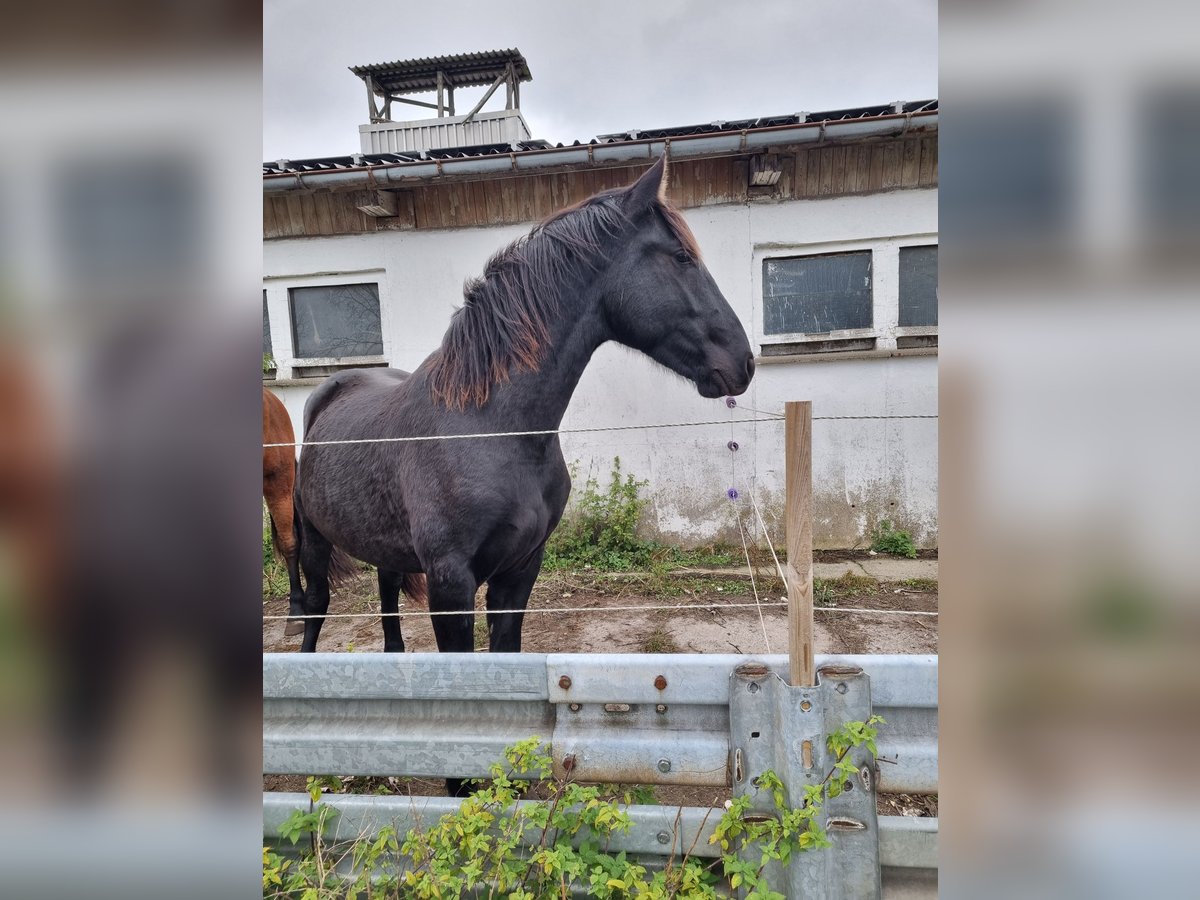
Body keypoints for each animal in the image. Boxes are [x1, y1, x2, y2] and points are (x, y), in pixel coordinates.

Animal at [292, 157, 748, 657]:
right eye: (681, 257)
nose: (744, 361)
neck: (490, 428)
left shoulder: (520, 570)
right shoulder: (450, 585)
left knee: (388, 595)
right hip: (313, 542)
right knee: (316, 604)